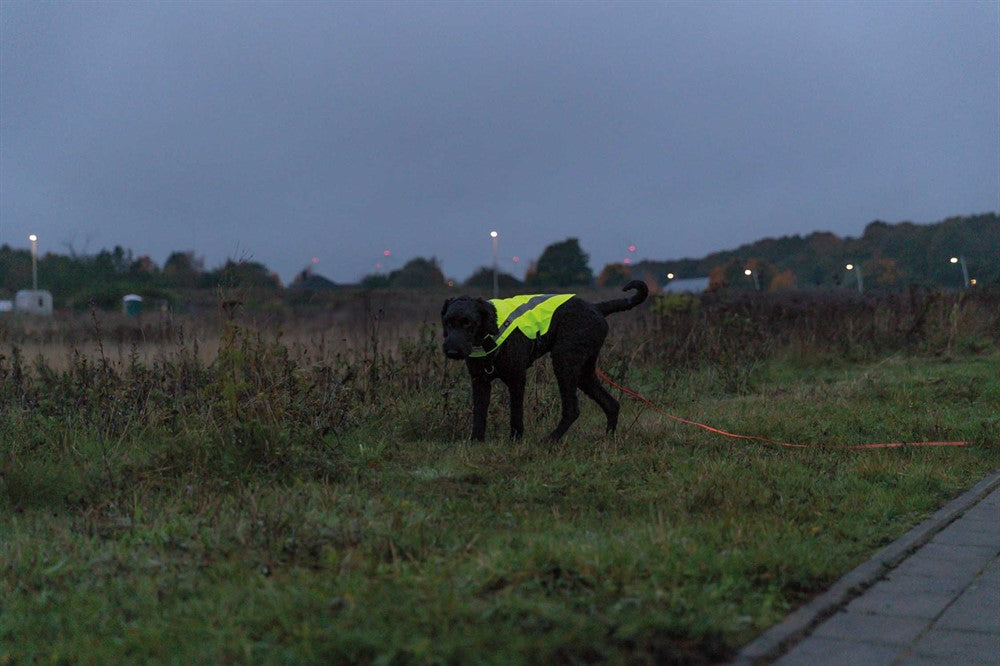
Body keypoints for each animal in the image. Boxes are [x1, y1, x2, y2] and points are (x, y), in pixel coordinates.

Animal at [444, 280, 648, 440]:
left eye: (468, 323)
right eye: (447, 322)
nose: (452, 351)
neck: (488, 335)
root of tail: (597, 307)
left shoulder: (517, 378)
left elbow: (516, 413)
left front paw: (515, 440)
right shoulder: (480, 381)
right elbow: (479, 415)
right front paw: (476, 442)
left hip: (564, 362)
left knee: (572, 410)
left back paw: (551, 440)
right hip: (583, 372)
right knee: (611, 404)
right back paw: (607, 439)